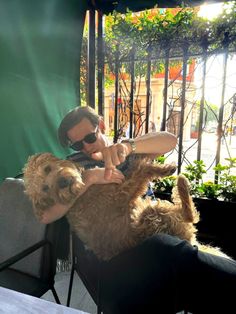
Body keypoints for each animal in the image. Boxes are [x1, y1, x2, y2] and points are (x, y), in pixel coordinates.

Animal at [23, 152, 229, 260]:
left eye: (47, 169)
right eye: (45, 188)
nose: (63, 183)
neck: (80, 194)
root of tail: (186, 237)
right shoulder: (122, 194)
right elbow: (141, 170)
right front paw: (162, 168)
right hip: (151, 213)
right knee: (190, 214)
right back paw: (182, 182)